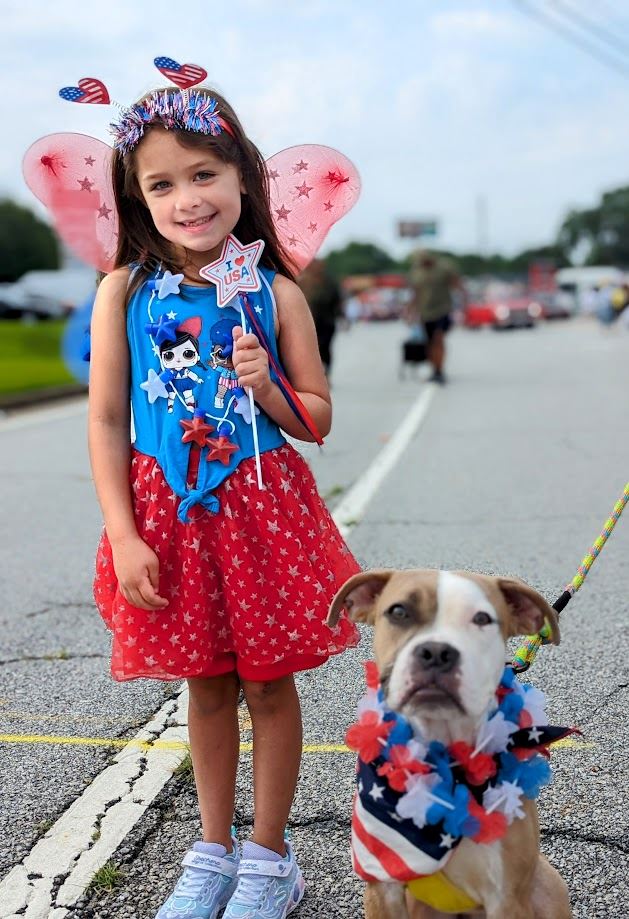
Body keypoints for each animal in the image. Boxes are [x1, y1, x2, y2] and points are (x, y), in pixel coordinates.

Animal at [327, 569, 573, 919]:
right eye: (399, 611)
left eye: (482, 619)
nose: (436, 652)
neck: (447, 764)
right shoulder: (381, 887)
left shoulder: (507, 899)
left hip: (546, 888)